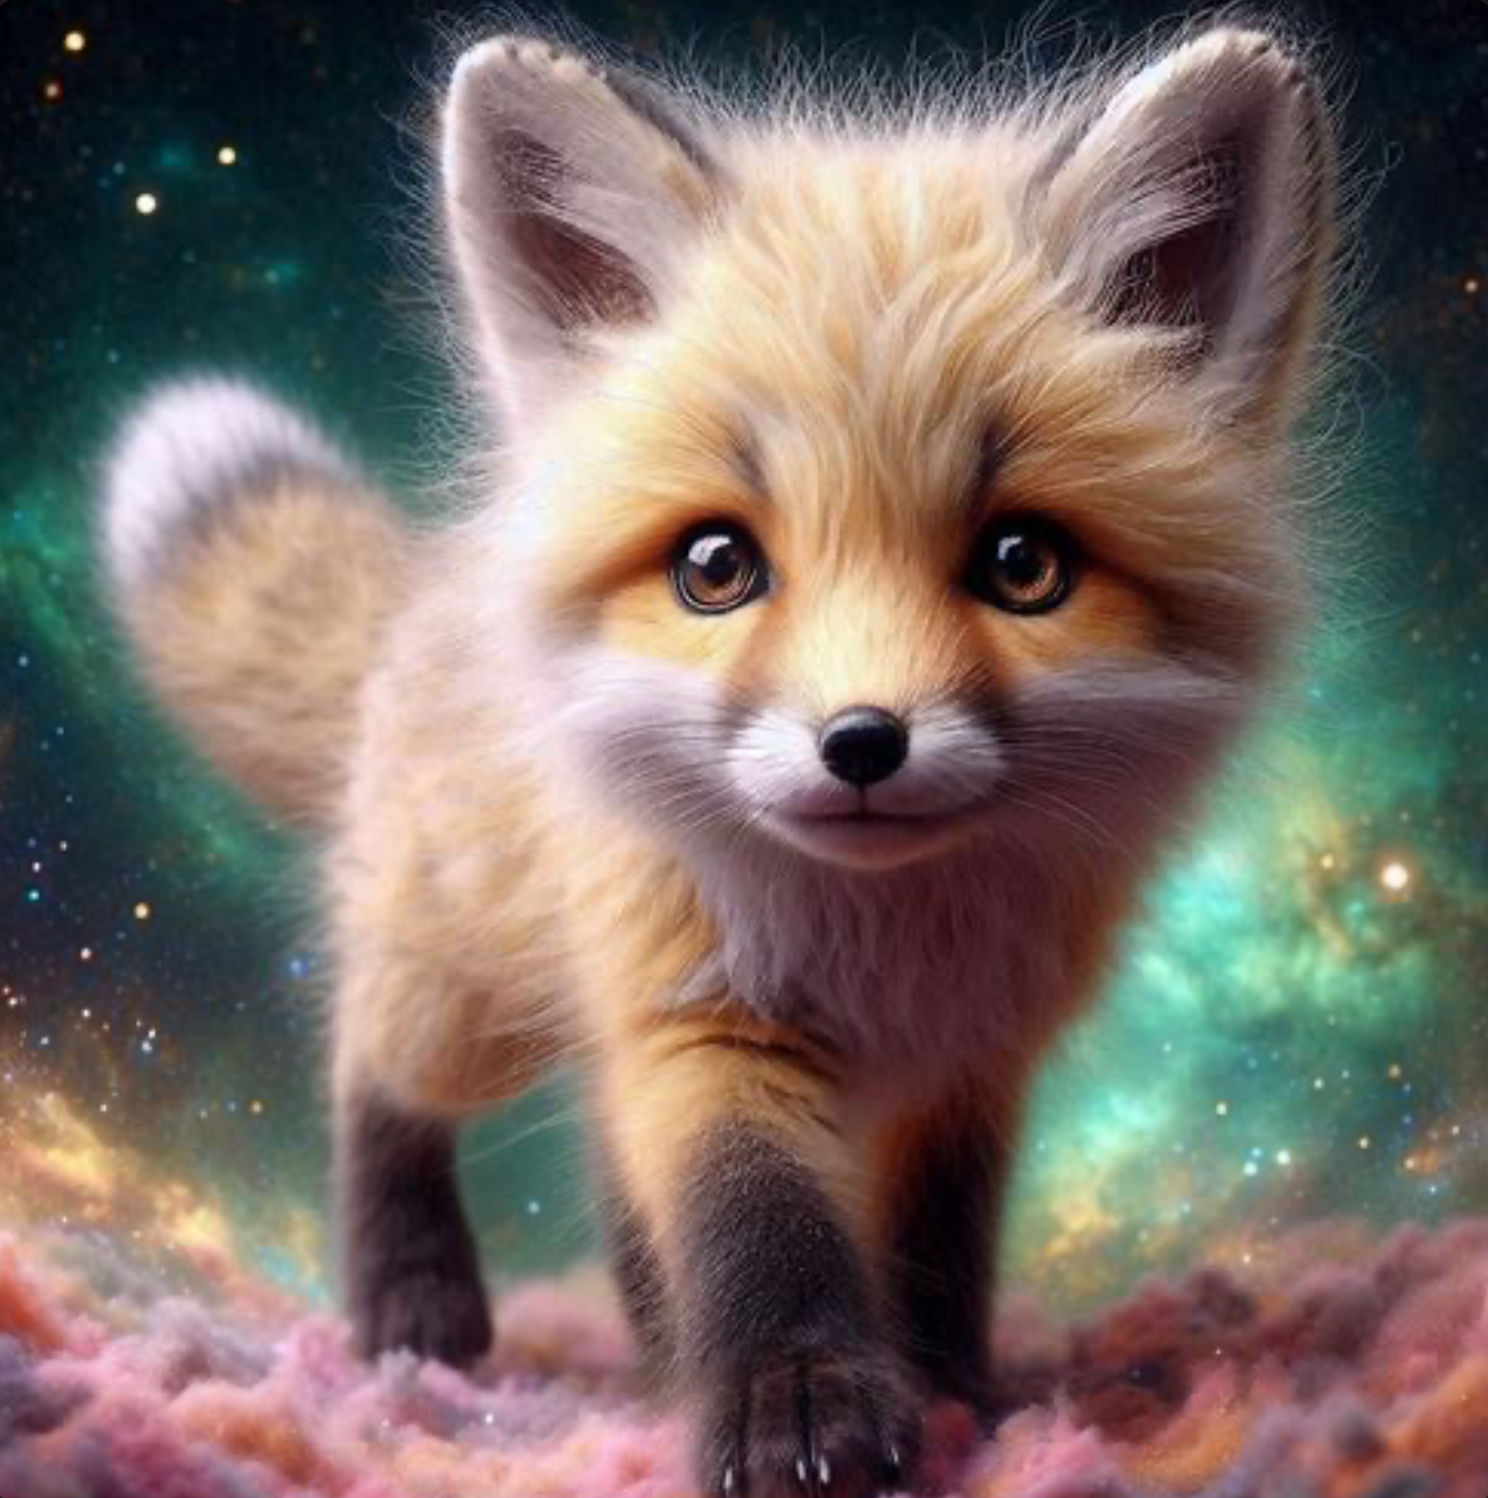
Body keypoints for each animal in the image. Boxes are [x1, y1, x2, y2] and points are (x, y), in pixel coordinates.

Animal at [100, 19, 1341, 1498]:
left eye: (1023, 563)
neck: (884, 945)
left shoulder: (973, 1063)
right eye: (715, 566)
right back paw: (414, 1295)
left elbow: (932, 1244)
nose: (861, 742)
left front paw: (952, 1390)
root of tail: (433, 583)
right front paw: (793, 1399)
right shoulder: (698, 1011)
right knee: (373, 1061)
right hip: (459, 991)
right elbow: (757, 1227)